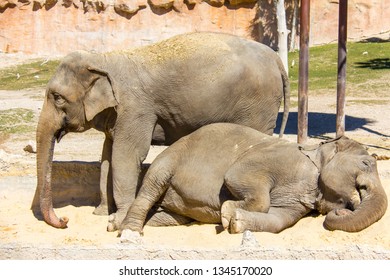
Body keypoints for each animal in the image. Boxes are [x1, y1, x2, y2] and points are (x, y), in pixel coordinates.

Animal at [33, 31, 290, 231]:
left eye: (57, 97)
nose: (64, 220)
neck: (104, 58)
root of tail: (276, 59)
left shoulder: (136, 108)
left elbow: (126, 157)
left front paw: (116, 221)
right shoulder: (117, 114)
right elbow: (107, 157)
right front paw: (101, 213)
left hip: (257, 105)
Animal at [120, 123, 388, 236]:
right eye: (367, 163)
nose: (343, 210)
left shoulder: (297, 204)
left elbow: (279, 220)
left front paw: (236, 222)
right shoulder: (273, 157)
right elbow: (239, 175)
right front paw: (227, 212)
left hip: (176, 205)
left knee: (170, 216)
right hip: (170, 157)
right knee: (151, 186)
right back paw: (129, 231)